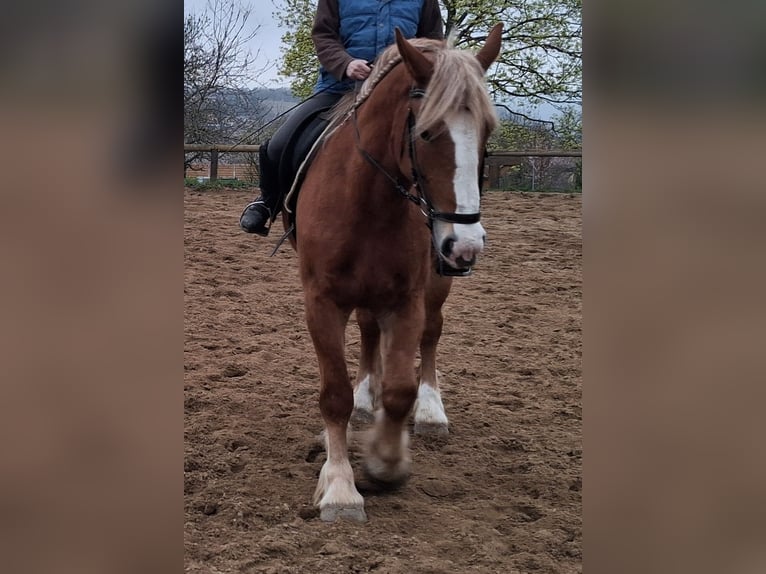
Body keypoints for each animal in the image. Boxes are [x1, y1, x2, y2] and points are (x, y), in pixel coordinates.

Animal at [284, 24, 502, 522]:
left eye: (487, 131)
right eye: (426, 132)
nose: (465, 245)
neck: (369, 201)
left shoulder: (407, 299)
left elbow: (401, 388)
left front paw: (385, 459)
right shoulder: (321, 301)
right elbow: (335, 394)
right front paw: (340, 485)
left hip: (433, 286)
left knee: (431, 336)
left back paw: (430, 412)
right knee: (367, 335)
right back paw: (367, 401)